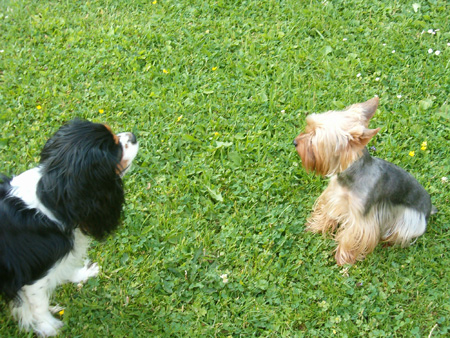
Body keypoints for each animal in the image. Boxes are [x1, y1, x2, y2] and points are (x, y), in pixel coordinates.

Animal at [0, 120, 137, 336]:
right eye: (114, 149)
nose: (133, 136)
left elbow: (67, 268)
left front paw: (84, 273)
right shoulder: (32, 278)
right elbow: (38, 306)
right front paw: (49, 327)